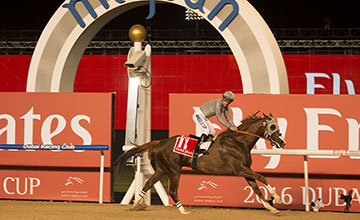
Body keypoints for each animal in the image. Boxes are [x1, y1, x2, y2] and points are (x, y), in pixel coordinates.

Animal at [115, 112, 286, 214]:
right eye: (272, 126)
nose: (282, 142)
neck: (238, 142)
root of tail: (160, 141)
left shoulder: (245, 170)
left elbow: (256, 188)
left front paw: (271, 207)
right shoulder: (239, 169)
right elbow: (262, 178)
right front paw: (277, 199)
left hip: (162, 169)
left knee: (148, 183)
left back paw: (136, 203)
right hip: (174, 170)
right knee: (172, 191)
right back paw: (183, 211)